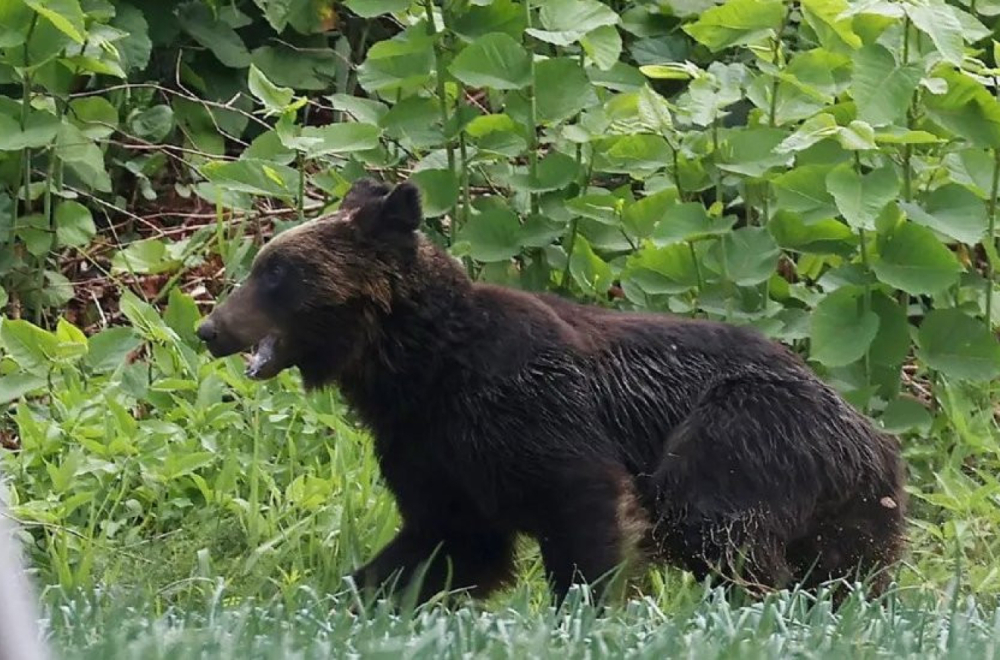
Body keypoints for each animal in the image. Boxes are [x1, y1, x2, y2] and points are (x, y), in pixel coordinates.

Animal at [195, 178, 908, 604]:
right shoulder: (430, 449)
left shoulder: (529, 408)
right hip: (853, 509)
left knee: (713, 520)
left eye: (276, 272)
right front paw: (358, 594)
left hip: (748, 429)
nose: (209, 327)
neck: (417, 368)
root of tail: (873, 433)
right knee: (846, 571)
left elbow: (583, 506)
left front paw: (585, 608)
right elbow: (446, 542)